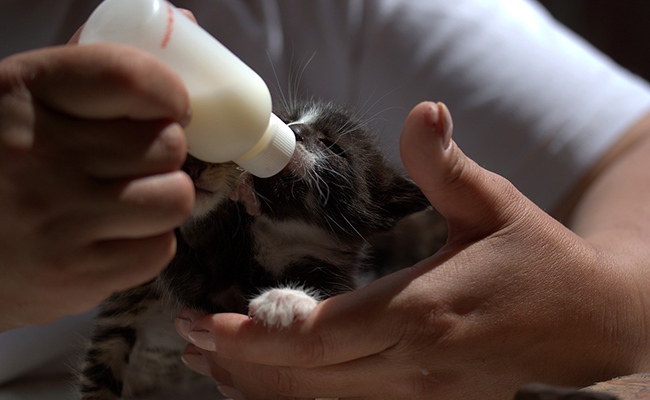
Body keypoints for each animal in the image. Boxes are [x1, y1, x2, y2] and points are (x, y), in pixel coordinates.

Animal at [78, 100, 438, 400]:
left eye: (333, 146)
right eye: (290, 120)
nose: (293, 131)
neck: (278, 241)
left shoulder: (335, 274)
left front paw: (285, 299)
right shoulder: (207, 287)